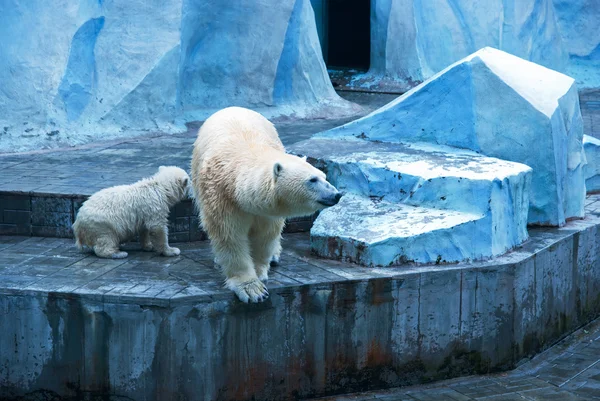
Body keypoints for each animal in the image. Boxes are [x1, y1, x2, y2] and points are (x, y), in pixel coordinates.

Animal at [192, 108, 342, 302]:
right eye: (312, 180)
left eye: (324, 176)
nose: (336, 195)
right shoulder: (221, 197)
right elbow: (229, 235)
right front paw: (252, 289)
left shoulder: (267, 210)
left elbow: (265, 234)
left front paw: (259, 272)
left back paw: (274, 256)